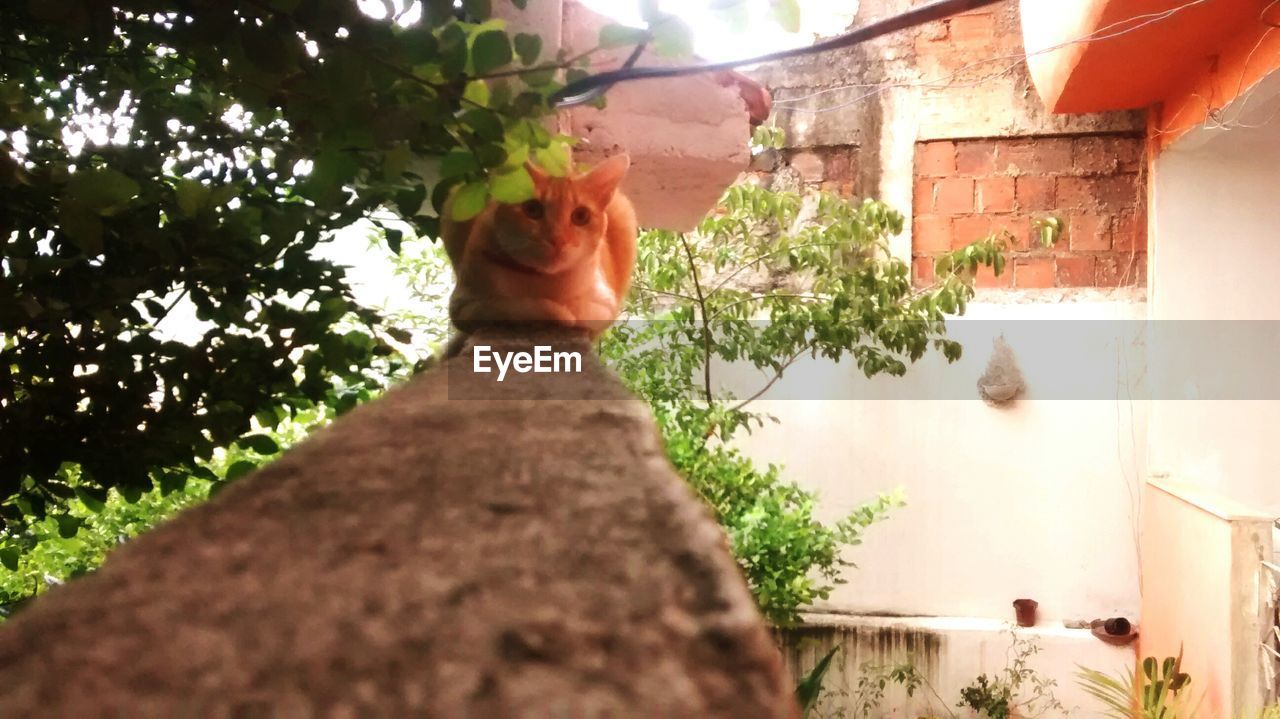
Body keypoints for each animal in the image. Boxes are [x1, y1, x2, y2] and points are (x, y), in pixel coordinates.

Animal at [442, 154, 637, 337]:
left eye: (581, 216)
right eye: (532, 209)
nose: (558, 239)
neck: (544, 283)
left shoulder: (606, 306)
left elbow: (581, 312)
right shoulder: (462, 307)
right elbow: (519, 306)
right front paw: (558, 313)